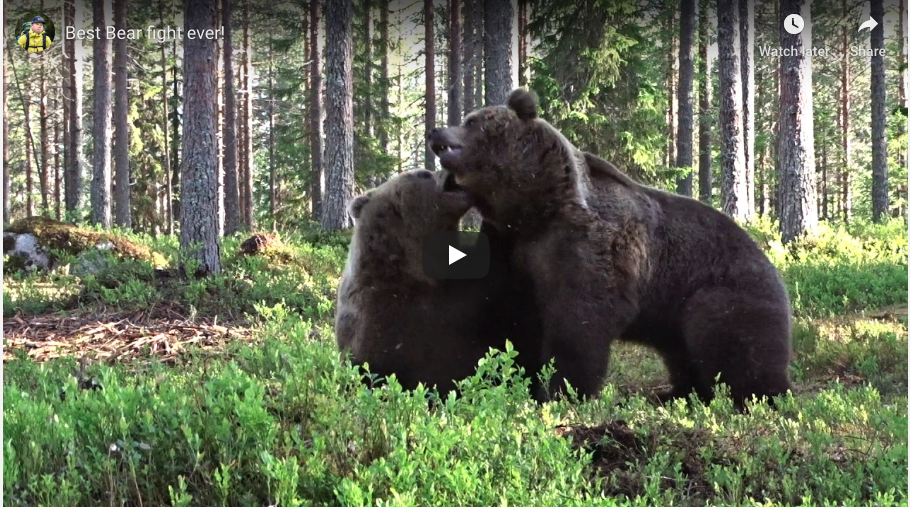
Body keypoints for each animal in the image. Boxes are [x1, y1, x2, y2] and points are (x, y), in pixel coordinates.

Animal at [427, 88, 793, 409]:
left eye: (471, 121)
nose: (434, 130)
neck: (537, 209)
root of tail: (771, 264)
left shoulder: (591, 246)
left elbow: (581, 321)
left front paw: (561, 390)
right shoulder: (516, 250)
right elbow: (510, 313)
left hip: (721, 290)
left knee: (733, 344)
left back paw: (759, 397)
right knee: (683, 354)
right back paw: (677, 393)